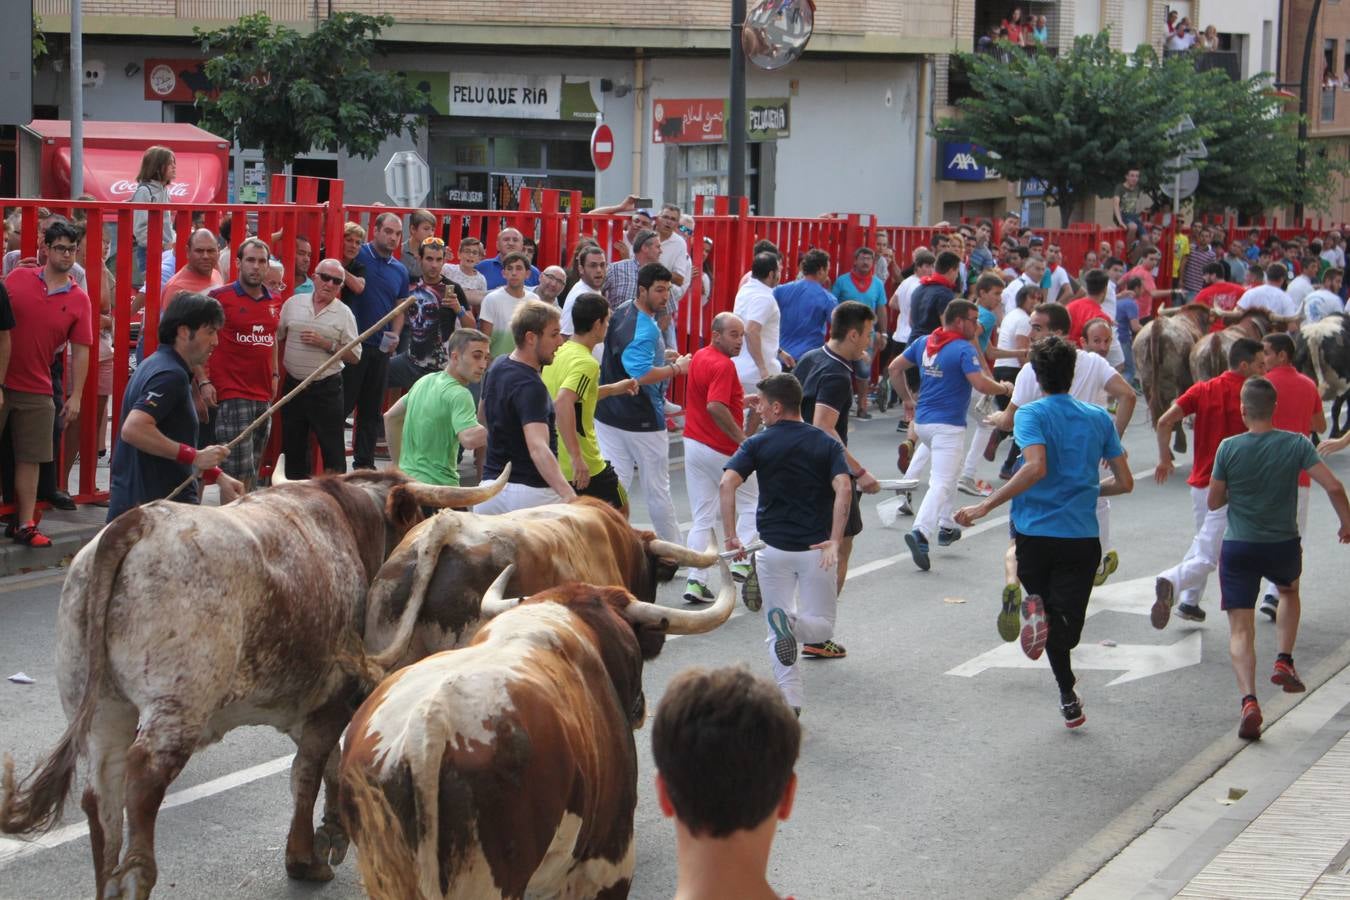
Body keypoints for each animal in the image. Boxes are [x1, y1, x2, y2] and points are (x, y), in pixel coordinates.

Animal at [1, 469, 507, 895]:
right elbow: (308, 770)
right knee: (141, 784)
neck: (348, 523)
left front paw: (330, 831)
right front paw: (305, 855)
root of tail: (139, 520)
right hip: (176, 706)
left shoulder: (308, 703)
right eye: (419, 522)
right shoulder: (333, 696)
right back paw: (135, 876)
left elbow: (325, 762)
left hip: (102, 707)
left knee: (102, 796)